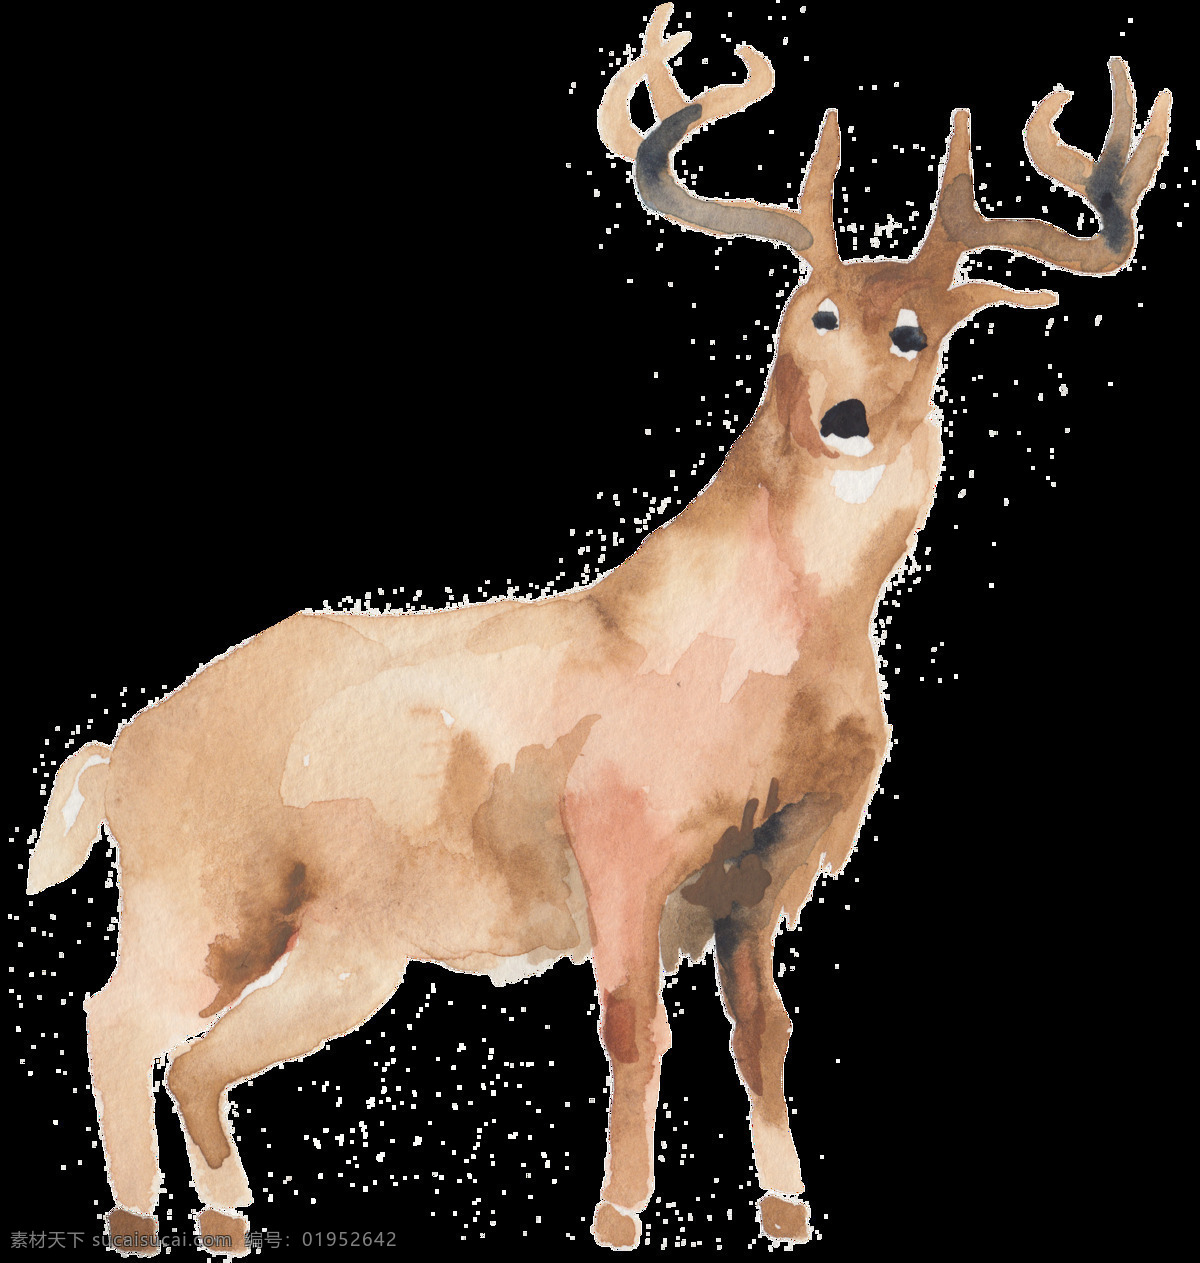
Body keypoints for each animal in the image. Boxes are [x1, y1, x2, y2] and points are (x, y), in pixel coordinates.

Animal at [26, 5, 1170, 1254]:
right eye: (813, 311)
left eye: (915, 330)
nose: (847, 416)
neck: (765, 659)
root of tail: (119, 754)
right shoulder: (622, 832)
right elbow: (633, 1025)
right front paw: (620, 1213)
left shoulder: (762, 872)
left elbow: (765, 1032)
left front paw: (786, 1204)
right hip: (211, 895)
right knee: (118, 1015)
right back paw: (137, 1218)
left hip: (339, 948)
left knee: (193, 1057)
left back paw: (224, 1215)